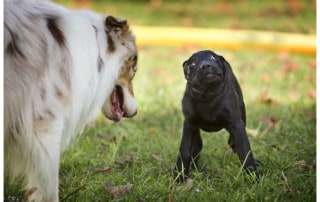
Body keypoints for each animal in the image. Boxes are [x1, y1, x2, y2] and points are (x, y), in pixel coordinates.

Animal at [174, 49, 258, 181]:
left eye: (212, 58)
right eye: (192, 64)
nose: (205, 66)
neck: (208, 95)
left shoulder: (236, 124)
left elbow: (245, 151)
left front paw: (253, 177)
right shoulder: (189, 124)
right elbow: (184, 151)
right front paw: (179, 175)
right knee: (197, 145)